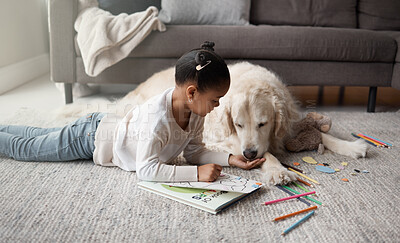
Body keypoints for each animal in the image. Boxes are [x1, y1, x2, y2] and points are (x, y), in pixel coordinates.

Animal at [119, 62, 368, 184]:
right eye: (238, 125)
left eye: (263, 124)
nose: (248, 154)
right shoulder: (225, 138)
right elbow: (267, 154)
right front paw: (278, 171)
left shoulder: (286, 124)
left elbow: (322, 134)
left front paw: (352, 146)